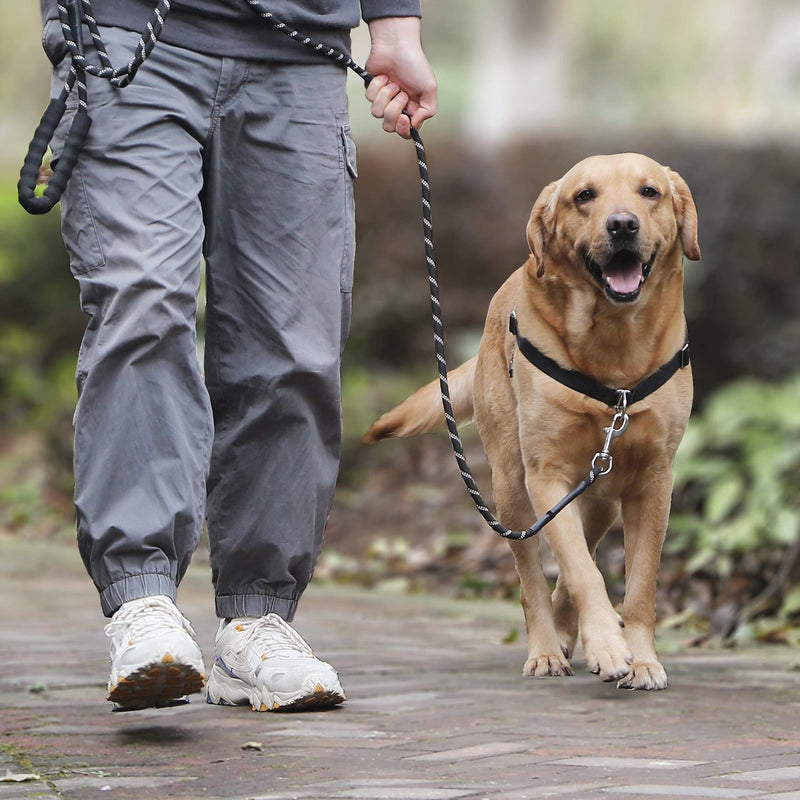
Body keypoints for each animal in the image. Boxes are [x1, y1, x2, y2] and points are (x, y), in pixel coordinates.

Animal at [364, 155, 700, 688]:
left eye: (649, 192)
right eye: (584, 196)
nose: (622, 224)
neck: (613, 345)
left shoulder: (653, 482)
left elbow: (638, 585)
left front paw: (642, 658)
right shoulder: (546, 475)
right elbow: (581, 571)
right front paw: (607, 646)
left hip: (599, 496)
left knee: (579, 550)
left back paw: (570, 633)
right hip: (511, 488)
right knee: (535, 578)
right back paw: (546, 648)